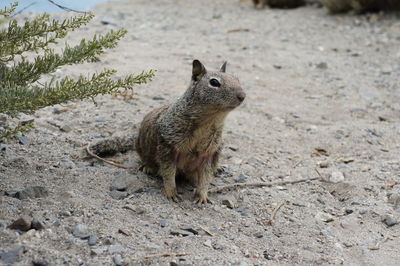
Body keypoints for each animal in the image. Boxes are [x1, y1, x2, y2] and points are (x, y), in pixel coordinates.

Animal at [136, 59, 245, 204]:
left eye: (237, 79)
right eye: (214, 82)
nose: (242, 96)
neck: (210, 119)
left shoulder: (211, 152)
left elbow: (205, 177)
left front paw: (202, 196)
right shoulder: (167, 145)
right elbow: (168, 172)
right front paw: (171, 192)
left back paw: (218, 168)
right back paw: (147, 166)